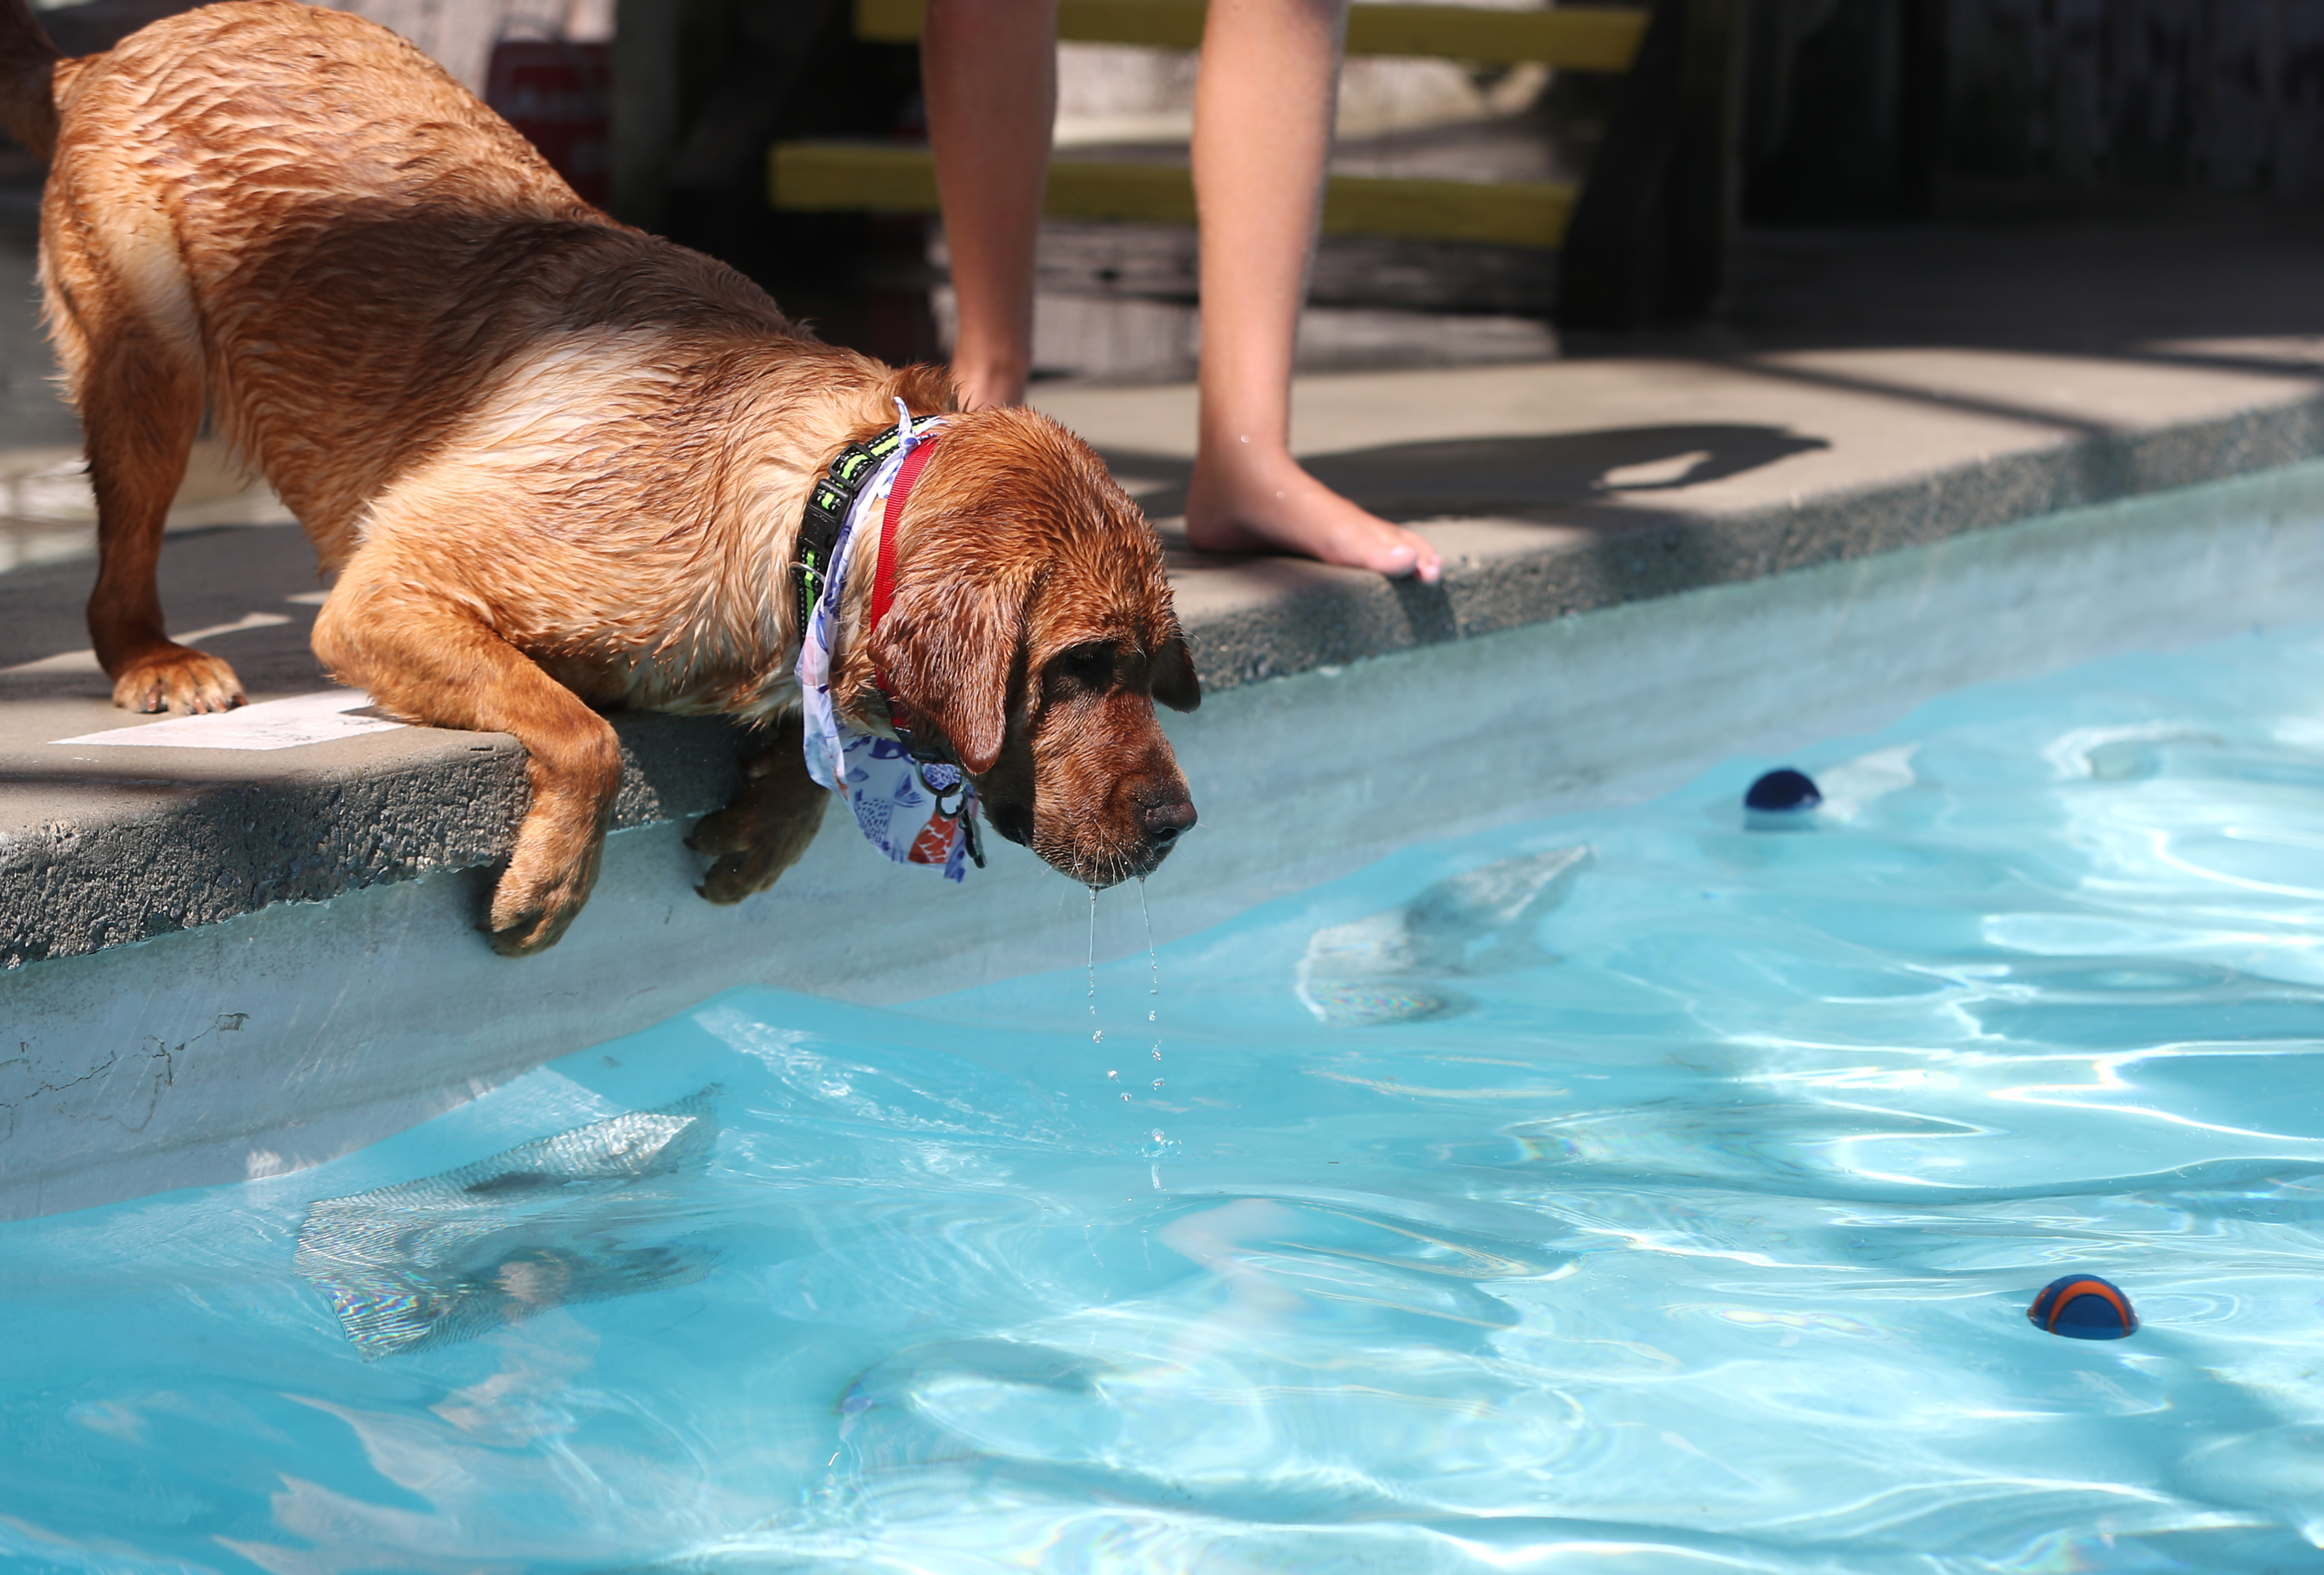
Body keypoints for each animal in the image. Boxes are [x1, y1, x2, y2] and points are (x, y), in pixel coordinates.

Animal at [0, 0, 1199, 957]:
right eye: (1080, 667)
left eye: (1143, 664)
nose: (1179, 827)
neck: (826, 498)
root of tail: (103, 55)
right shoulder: (388, 592)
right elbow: (588, 733)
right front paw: (554, 880)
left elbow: (794, 742)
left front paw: (767, 829)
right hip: (150, 355)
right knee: (119, 561)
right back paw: (152, 657)